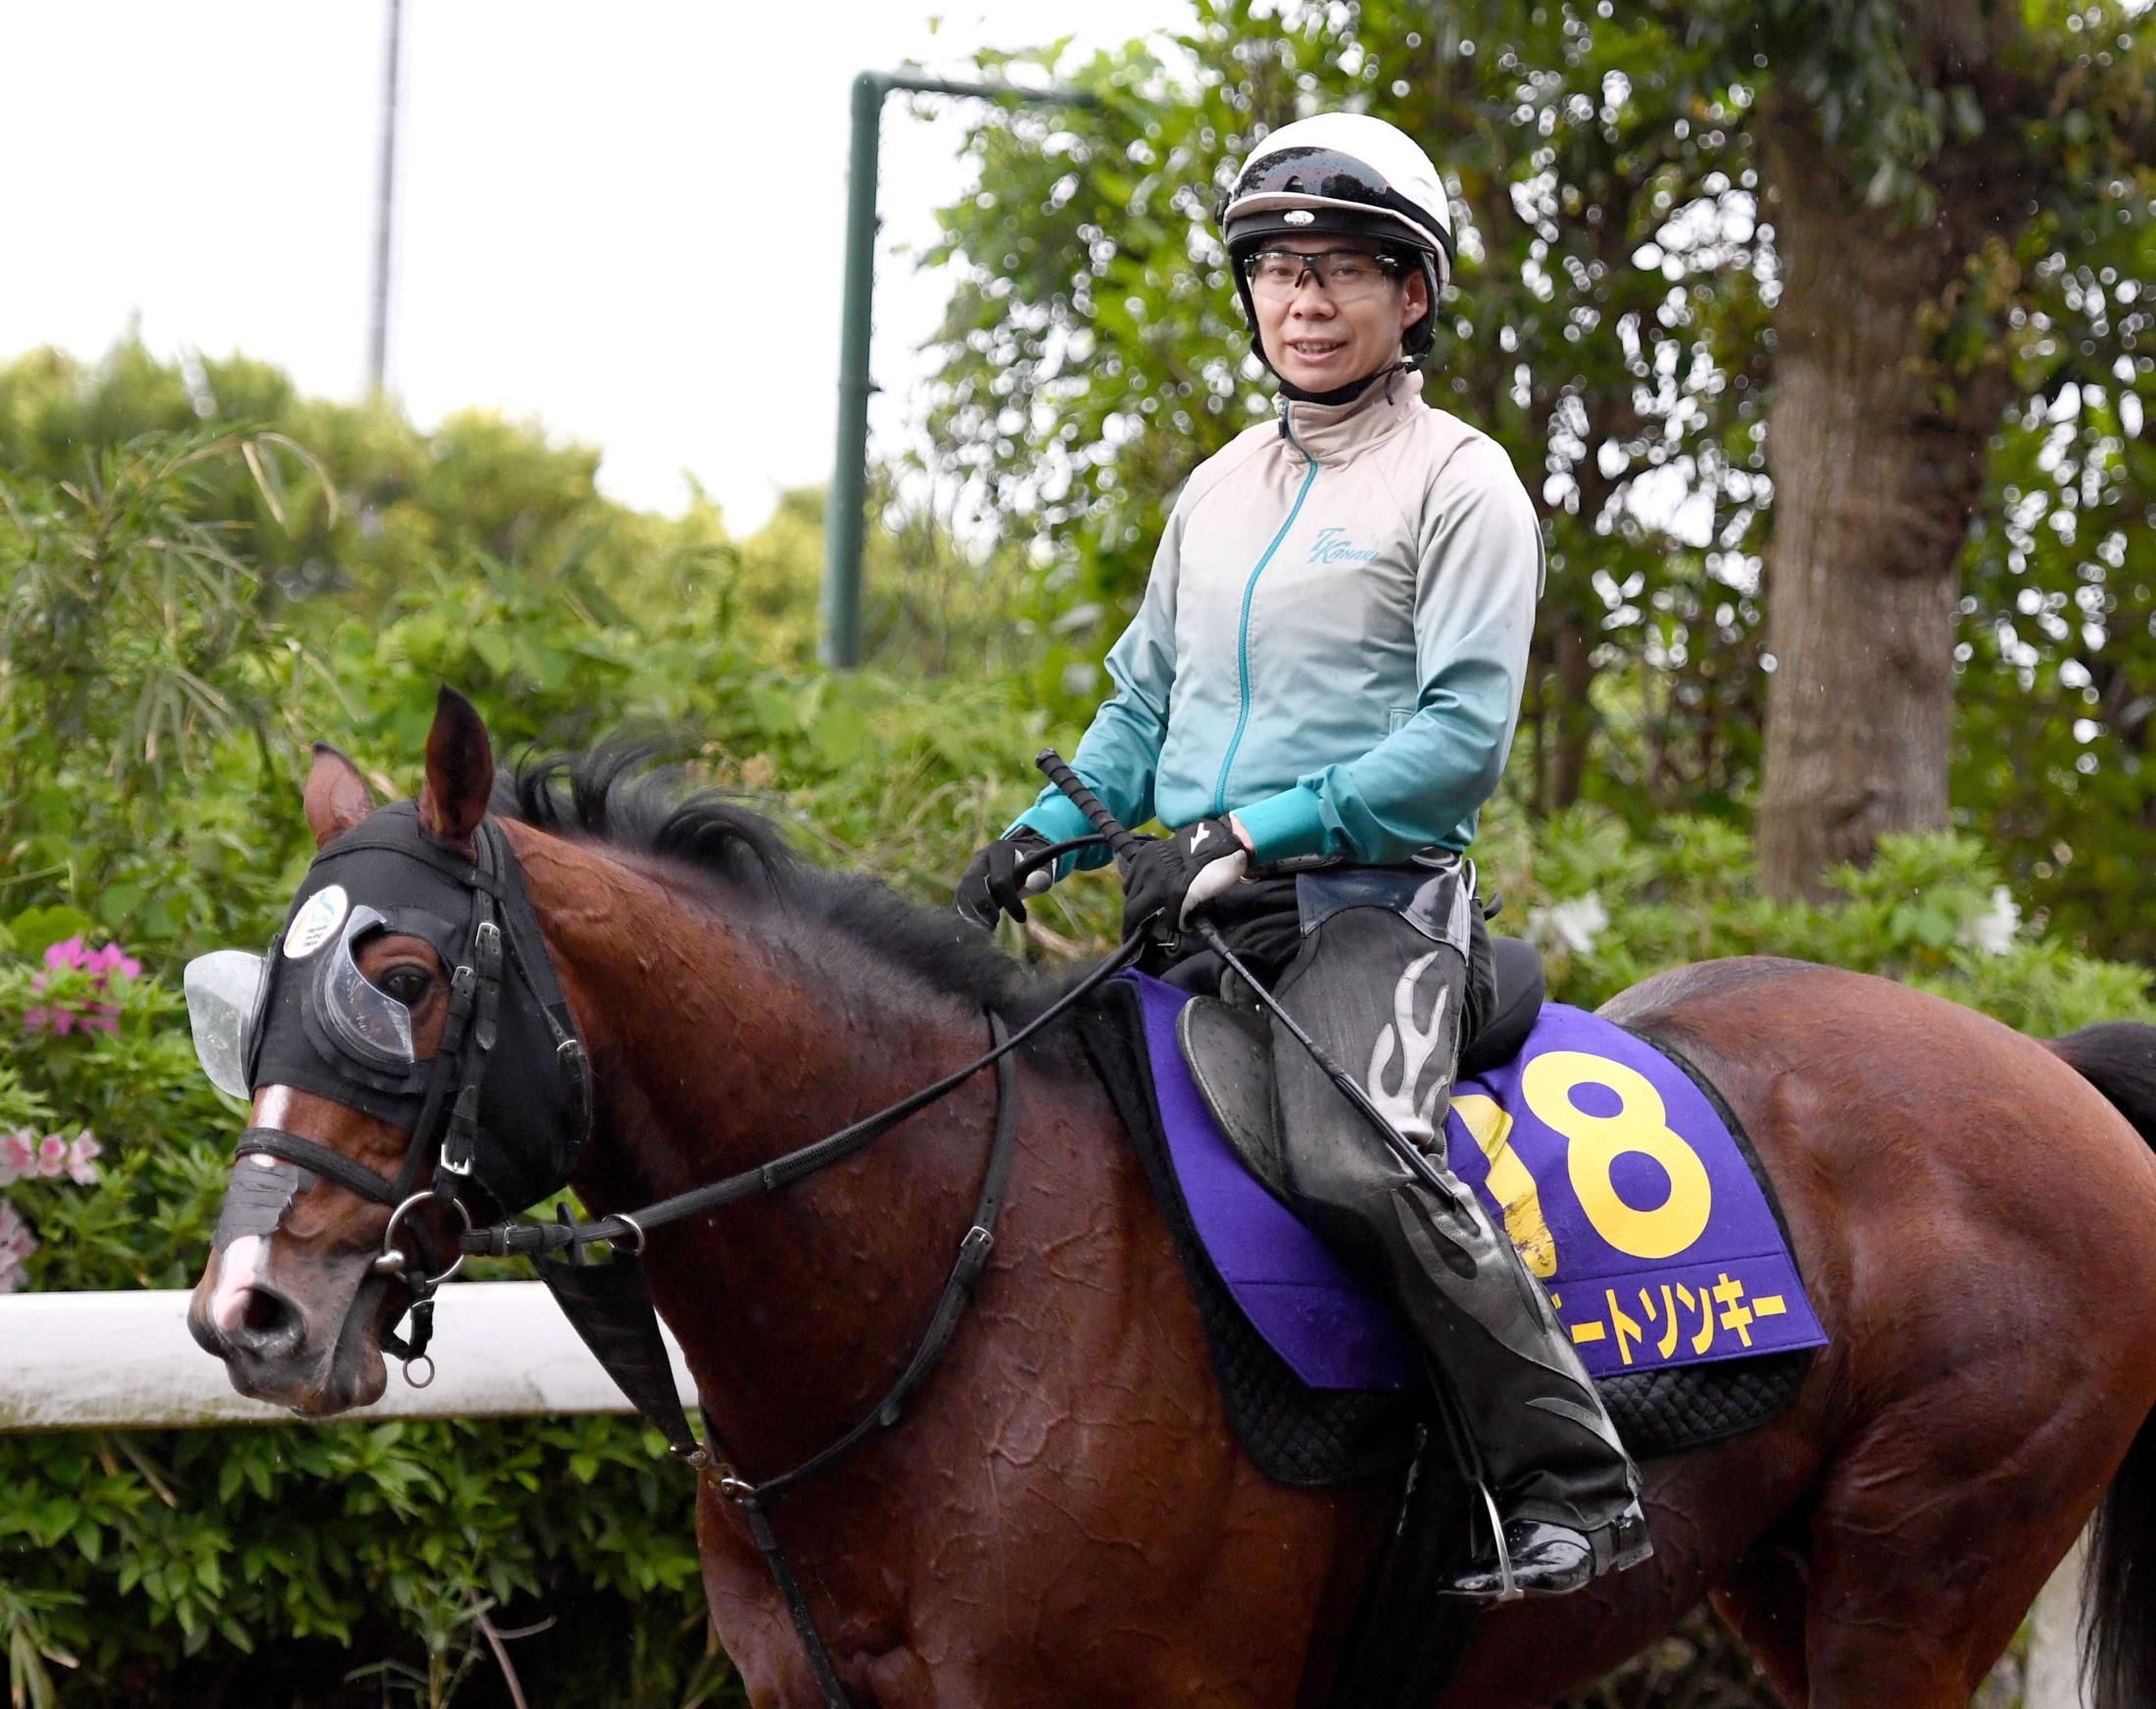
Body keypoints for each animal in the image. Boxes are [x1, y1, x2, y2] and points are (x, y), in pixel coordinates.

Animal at [180, 685, 2156, 1698]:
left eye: (399, 974)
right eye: (247, 993)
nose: (248, 1311)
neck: (944, 1281)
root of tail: (2059, 1073)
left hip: (1928, 1560)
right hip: (1786, 1572)